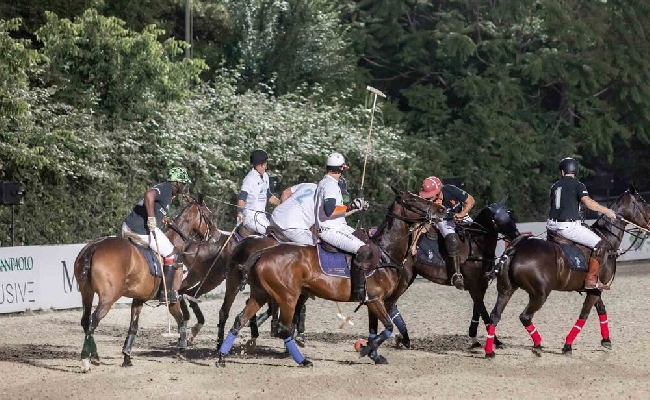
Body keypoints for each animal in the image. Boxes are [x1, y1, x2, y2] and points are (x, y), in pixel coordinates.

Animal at [73, 197, 215, 372]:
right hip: (108, 297)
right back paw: (86, 359)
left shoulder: (138, 298)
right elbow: (181, 320)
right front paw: (181, 348)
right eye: (208, 215)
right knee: (94, 320)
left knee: (86, 321)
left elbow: (133, 326)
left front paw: (127, 357)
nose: (214, 235)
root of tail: (93, 247)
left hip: (86, 292)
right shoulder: (172, 297)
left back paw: (95, 356)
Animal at [215, 189, 442, 368]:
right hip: (287, 296)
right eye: (413, 200)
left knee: (240, 319)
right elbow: (387, 328)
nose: (442, 210)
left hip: (260, 293)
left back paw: (222, 357)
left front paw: (375, 355)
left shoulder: (372, 302)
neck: (384, 252)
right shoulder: (375, 299)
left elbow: (375, 330)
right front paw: (365, 350)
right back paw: (302, 360)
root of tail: (262, 252)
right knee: (282, 328)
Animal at [380, 198, 516, 348]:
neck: (477, 245)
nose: (516, 234)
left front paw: (474, 338)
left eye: (510, 214)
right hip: (404, 277)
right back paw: (403, 338)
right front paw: (496, 341)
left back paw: (403, 338)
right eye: (498, 219)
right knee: (389, 303)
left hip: (409, 276)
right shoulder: (473, 284)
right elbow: (483, 310)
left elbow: (477, 309)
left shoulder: (482, 284)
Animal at [484, 187, 644, 356]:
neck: (608, 240)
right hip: (539, 294)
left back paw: (490, 351)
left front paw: (606, 340)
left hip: (506, 289)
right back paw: (538, 344)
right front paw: (567, 346)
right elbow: (584, 315)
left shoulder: (595, 288)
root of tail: (514, 248)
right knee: (525, 316)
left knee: (495, 315)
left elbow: (601, 309)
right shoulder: (595, 289)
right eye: (642, 201)